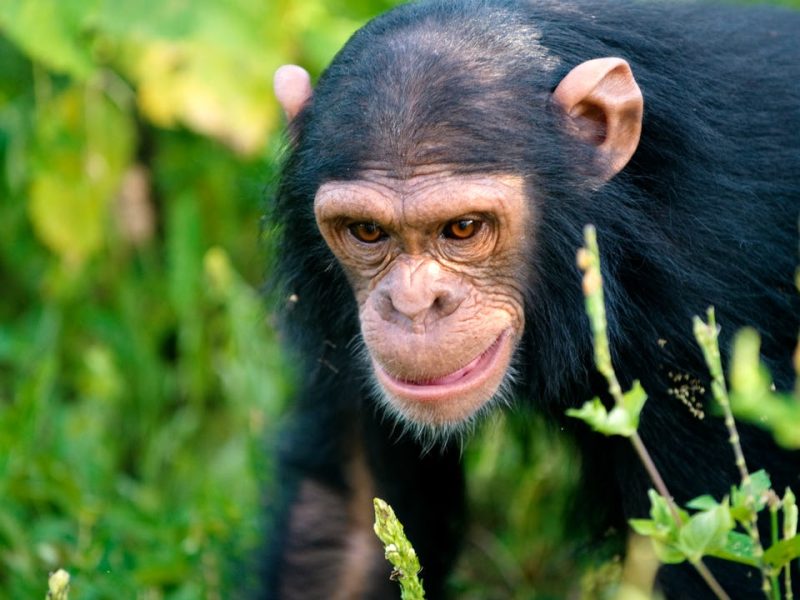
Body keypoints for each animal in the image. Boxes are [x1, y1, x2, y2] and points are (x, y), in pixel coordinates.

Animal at [260, 0, 796, 596]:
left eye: (463, 228)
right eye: (367, 232)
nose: (413, 305)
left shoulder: (704, 315)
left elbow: (715, 551)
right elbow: (349, 524)